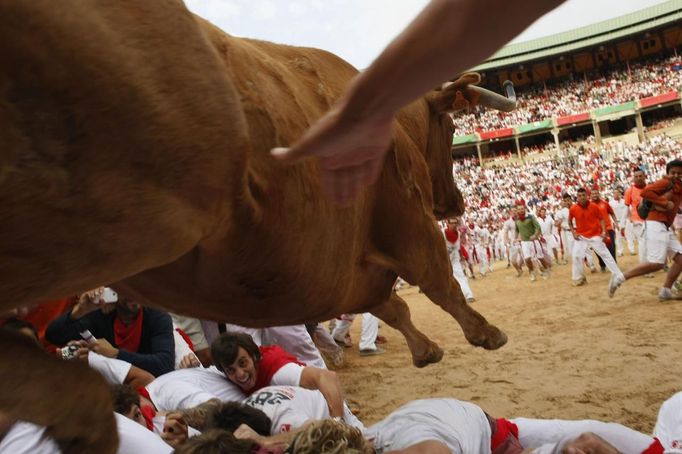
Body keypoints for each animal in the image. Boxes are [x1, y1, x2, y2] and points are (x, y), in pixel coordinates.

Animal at [1, 1, 504, 452]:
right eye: (450, 124)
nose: (456, 203)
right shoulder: (406, 217)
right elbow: (437, 281)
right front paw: (483, 333)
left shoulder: (343, 270)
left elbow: (393, 305)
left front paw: (424, 349)